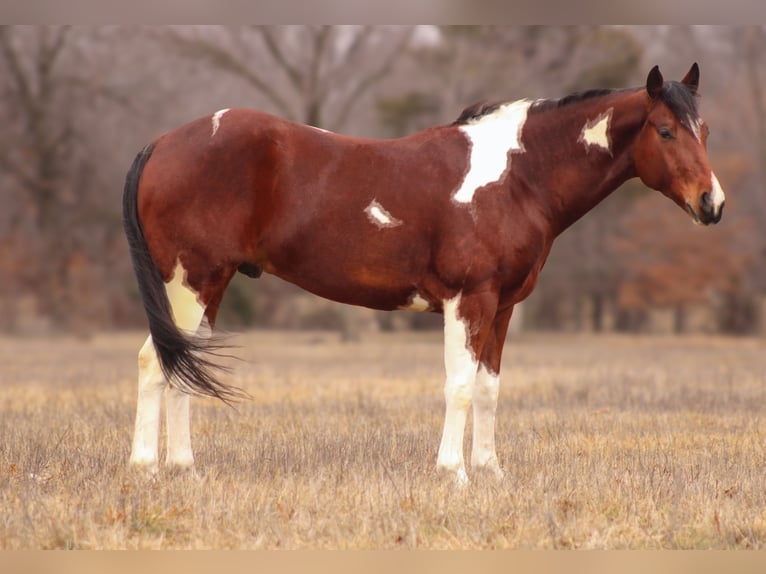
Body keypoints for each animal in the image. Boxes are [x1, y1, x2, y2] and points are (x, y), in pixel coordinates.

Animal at [121, 64, 728, 486]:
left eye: (705, 130)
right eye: (665, 130)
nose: (712, 204)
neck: (518, 176)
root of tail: (162, 143)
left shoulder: (502, 307)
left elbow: (488, 387)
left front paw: (489, 471)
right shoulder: (468, 300)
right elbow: (458, 385)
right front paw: (452, 473)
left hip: (209, 285)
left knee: (181, 366)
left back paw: (185, 469)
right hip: (191, 282)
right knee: (155, 361)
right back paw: (147, 468)